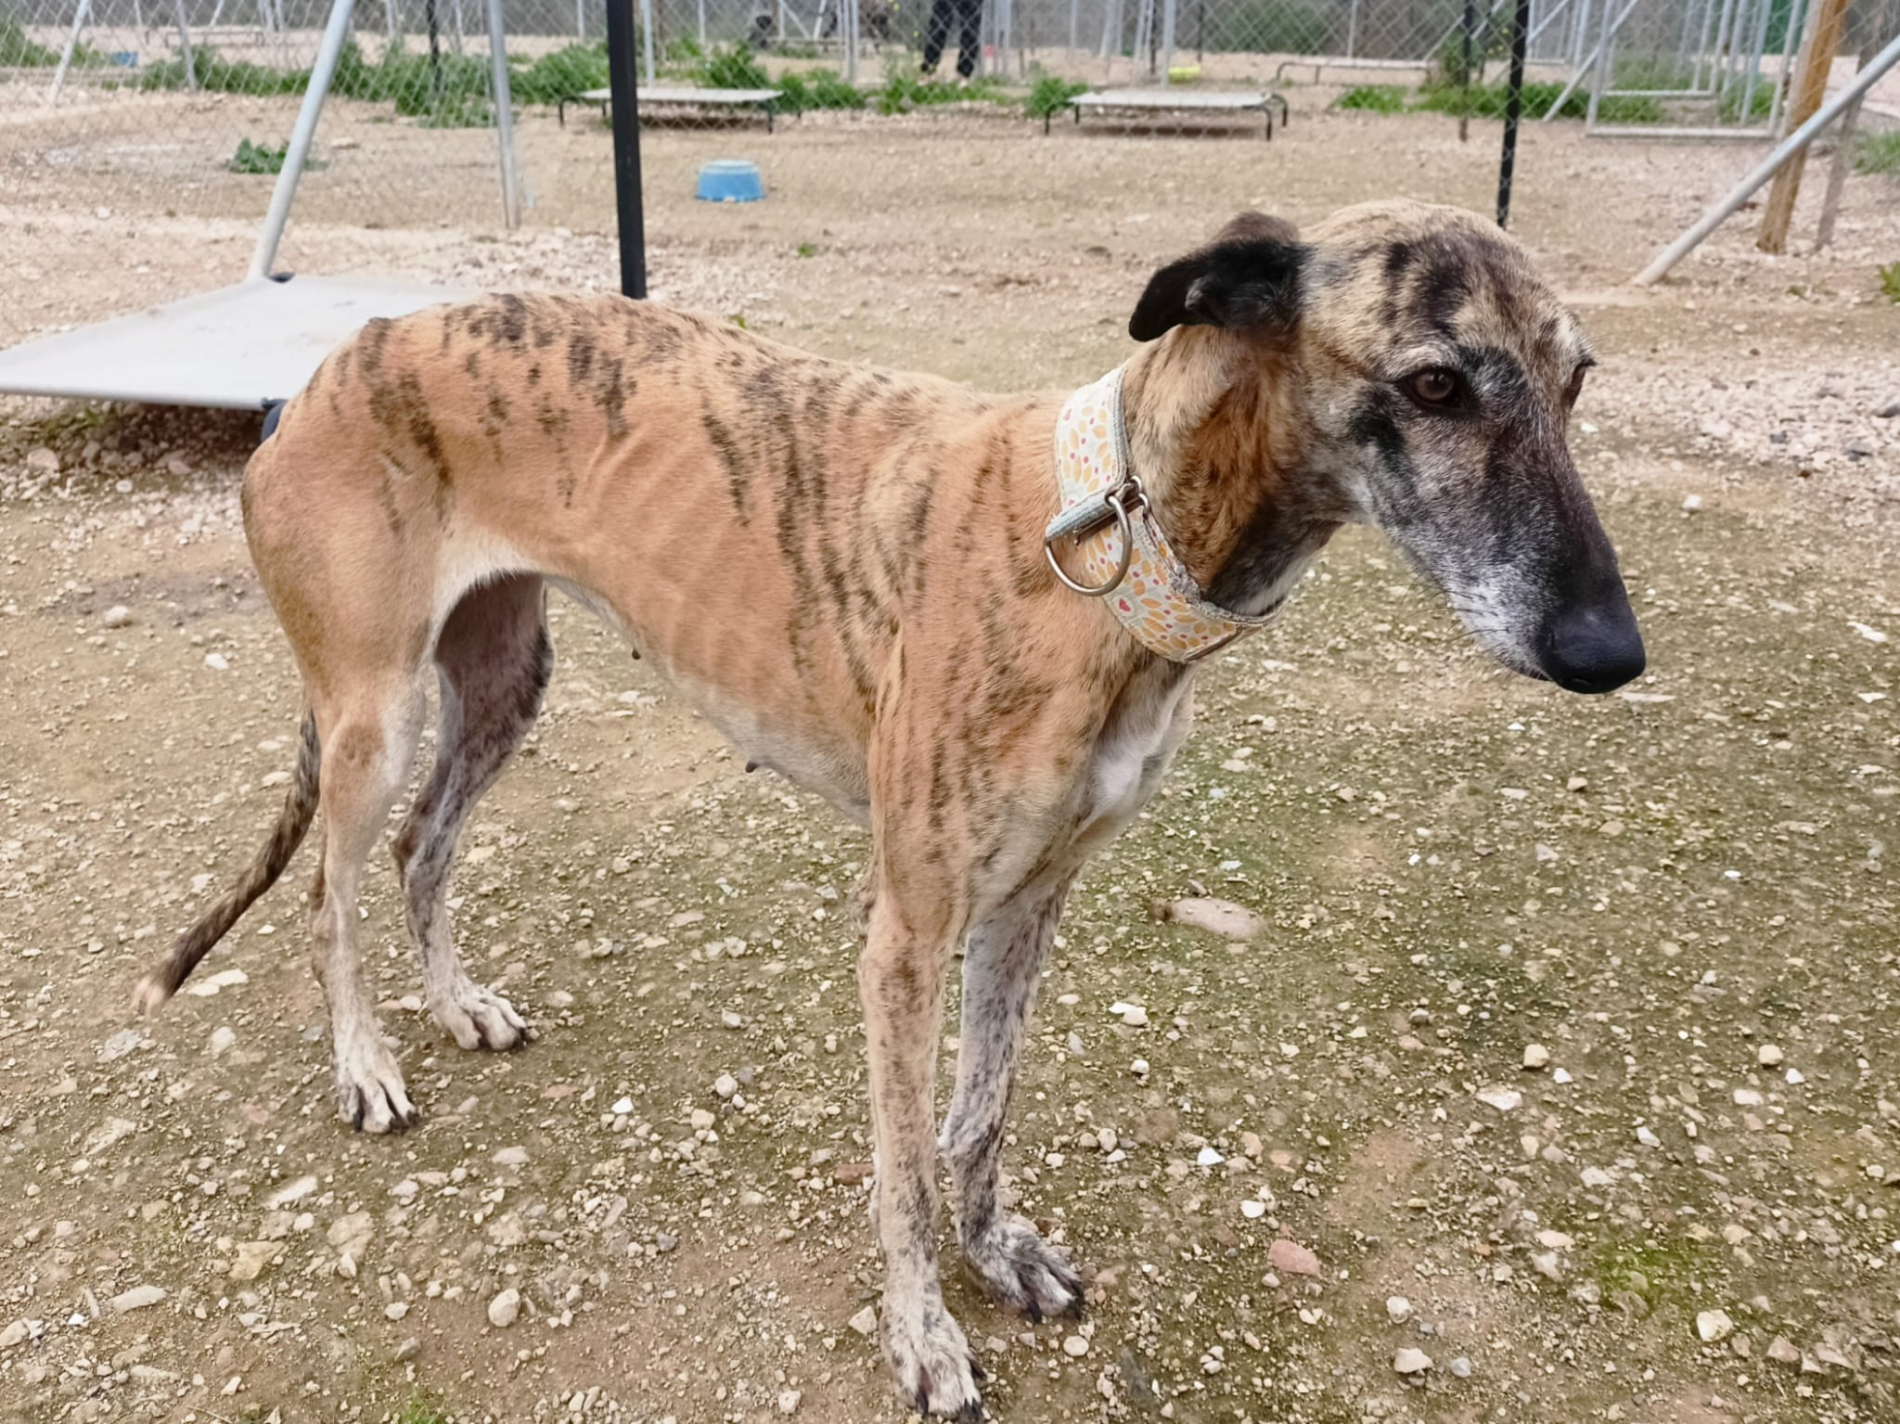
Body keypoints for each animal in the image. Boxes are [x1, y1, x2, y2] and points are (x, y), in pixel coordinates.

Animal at [135, 200, 1643, 1418]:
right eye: (1434, 382)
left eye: (1577, 382)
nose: (1611, 653)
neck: (1116, 541)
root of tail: (332, 364)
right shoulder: (907, 932)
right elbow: (909, 1163)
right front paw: (925, 1338)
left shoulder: (1030, 903)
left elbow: (981, 1116)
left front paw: (998, 1255)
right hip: (373, 713)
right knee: (332, 883)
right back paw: (365, 1065)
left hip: (503, 678)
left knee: (420, 845)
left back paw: (456, 1005)